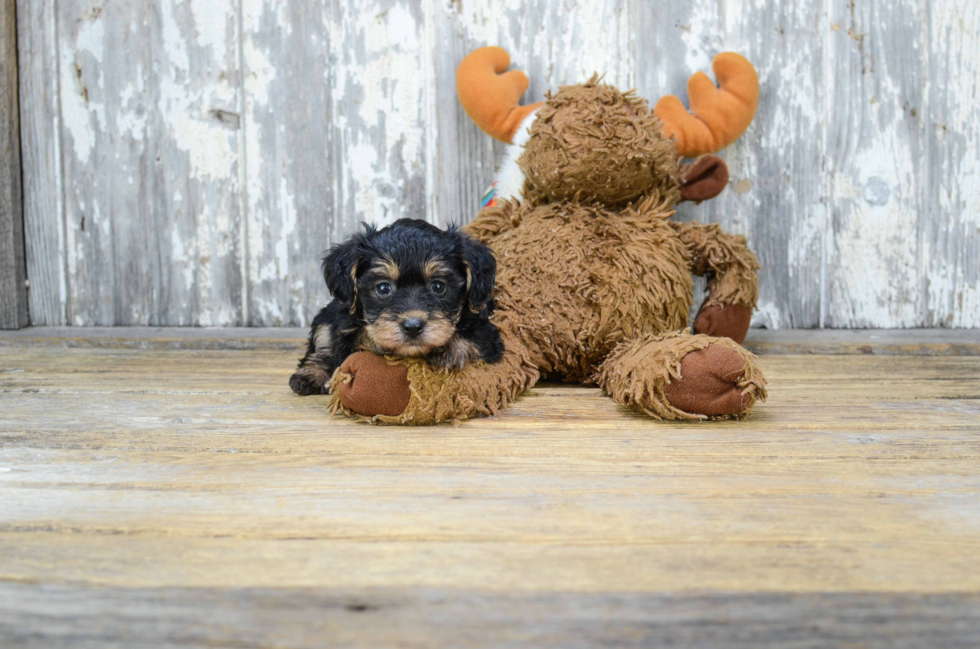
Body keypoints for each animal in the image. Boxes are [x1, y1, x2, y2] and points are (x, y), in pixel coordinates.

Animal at [290, 216, 506, 394]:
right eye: (383, 288)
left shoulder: (487, 334)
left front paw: (449, 349)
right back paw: (309, 375)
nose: (412, 327)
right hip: (328, 315)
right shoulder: (344, 327)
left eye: (438, 286)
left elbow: (472, 341)